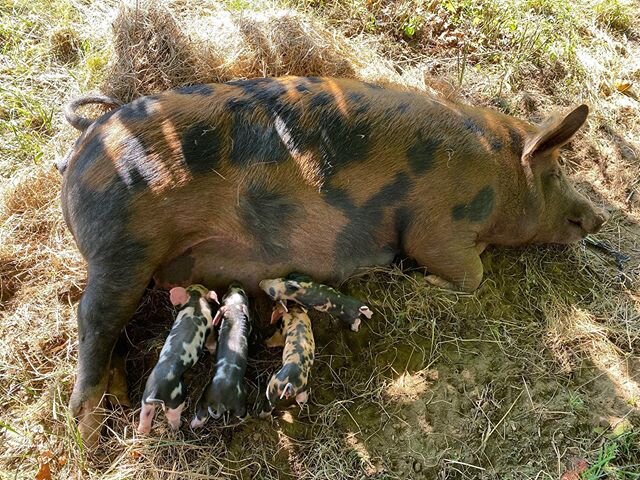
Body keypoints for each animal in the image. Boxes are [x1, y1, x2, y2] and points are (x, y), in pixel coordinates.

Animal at [58, 76, 604, 446]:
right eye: (557, 171)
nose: (597, 218)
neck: (496, 173)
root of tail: (87, 139)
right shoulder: (436, 227)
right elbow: (472, 273)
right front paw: (422, 282)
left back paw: (117, 399)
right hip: (121, 245)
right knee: (92, 319)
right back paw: (88, 430)